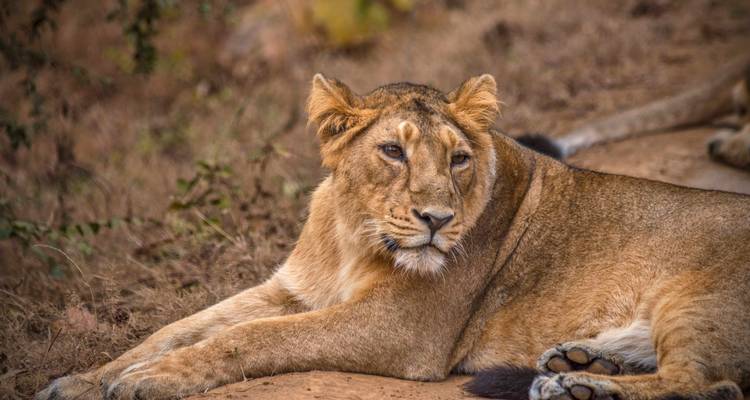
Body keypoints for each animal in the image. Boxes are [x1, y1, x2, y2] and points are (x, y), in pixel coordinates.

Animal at [37, 73, 750, 400]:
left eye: (458, 159)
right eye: (392, 152)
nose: (436, 219)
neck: (353, 234)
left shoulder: (400, 327)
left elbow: (251, 338)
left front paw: (150, 381)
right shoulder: (291, 290)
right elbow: (178, 327)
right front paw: (81, 380)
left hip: (699, 299)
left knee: (708, 384)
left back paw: (579, 387)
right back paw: (578, 363)